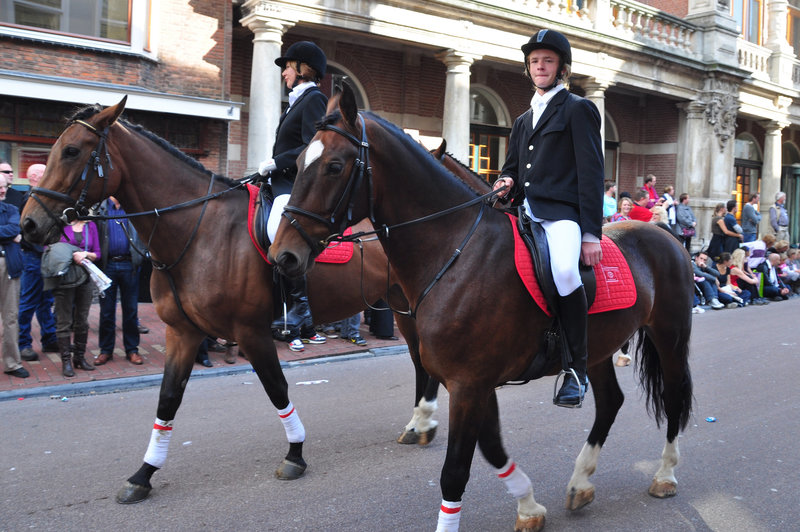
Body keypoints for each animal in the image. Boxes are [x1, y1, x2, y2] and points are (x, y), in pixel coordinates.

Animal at [18, 96, 440, 508]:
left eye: (71, 151)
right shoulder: (183, 332)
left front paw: (295, 454)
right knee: (420, 361)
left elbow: (277, 389)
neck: (200, 230)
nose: (28, 225)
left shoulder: (252, 332)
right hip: (403, 306)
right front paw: (143, 475)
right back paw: (418, 425)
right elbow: (167, 401)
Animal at [268, 85, 692, 528]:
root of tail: (665, 234)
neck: (457, 250)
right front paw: (528, 506)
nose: (283, 255)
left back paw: (664, 475)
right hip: (597, 350)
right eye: (299, 161)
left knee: (674, 399)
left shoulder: (469, 384)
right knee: (610, 403)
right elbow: (492, 449)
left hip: (670, 336)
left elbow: (455, 471)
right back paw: (581, 482)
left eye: (334, 166)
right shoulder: (472, 381)